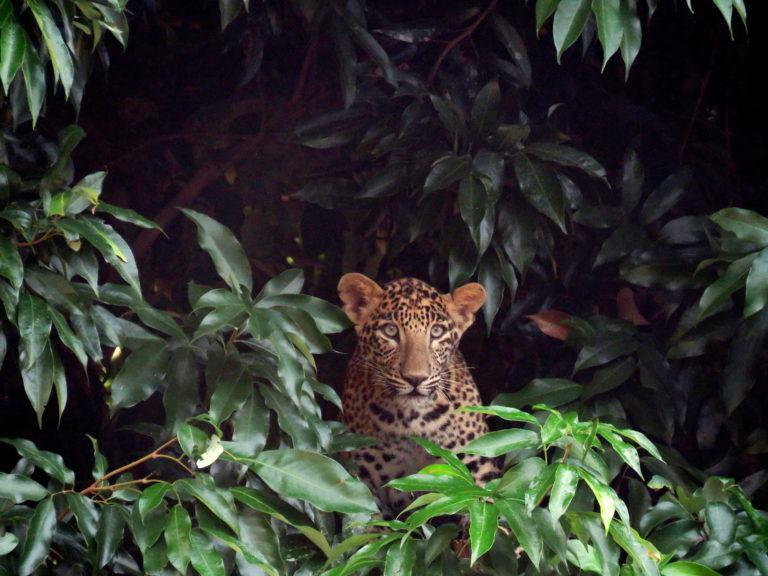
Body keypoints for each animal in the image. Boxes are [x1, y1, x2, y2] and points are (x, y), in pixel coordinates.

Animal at [338, 272, 498, 516]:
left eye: (437, 332)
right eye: (390, 331)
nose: (415, 378)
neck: (413, 419)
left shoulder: (478, 467)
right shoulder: (361, 478)